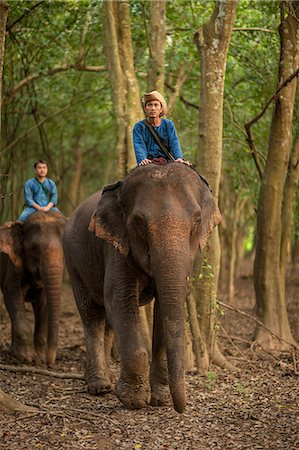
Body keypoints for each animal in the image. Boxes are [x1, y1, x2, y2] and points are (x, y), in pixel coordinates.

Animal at [0, 211, 67, 366]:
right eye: (34, 249)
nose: (50, 363)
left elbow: (43, 304)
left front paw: (39, 359)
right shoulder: (13, 265)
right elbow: (12, 296)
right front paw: (25, 358)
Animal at [63, 163, 221, 414]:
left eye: (197, 220)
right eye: (138, 221)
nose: (180, 408)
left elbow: (162, 310)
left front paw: (161, 399)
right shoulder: (116, 246)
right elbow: (118, 300)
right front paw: (134, 401)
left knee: (107, 322)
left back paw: (107, 382)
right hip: (72, 259)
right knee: (92, 315)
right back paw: (99, 387)